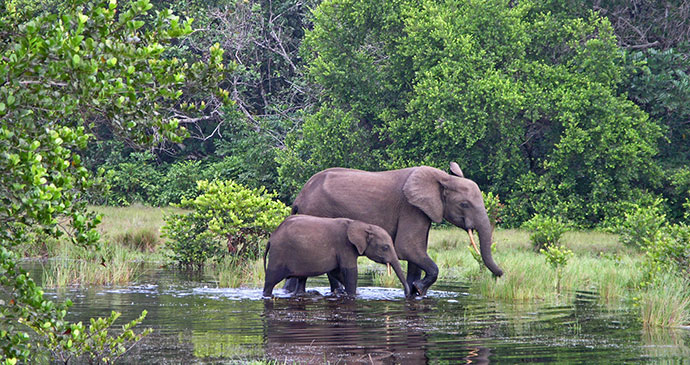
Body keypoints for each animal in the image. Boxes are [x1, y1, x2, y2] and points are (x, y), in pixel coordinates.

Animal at [260, 215, 406, 298]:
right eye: (385, 247)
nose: (407, 293)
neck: (364, 225)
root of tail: (271, 238)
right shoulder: (344, 246)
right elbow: (350, 271)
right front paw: (353, 295)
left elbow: (337, 272)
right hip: (279, 253)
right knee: (271, 279)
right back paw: (267, 295)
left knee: (302, 278)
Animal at [288, 162, 502, 296]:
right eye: (464, 204)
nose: (499, 276)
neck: (443, 178)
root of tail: (300, 197)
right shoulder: (411, 208)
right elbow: (407, 248)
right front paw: (418, 289)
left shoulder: (422, 211)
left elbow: (416, 254)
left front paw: (415, 292)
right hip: (318, 212)